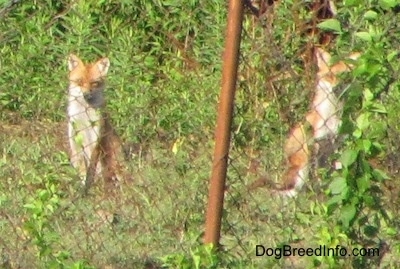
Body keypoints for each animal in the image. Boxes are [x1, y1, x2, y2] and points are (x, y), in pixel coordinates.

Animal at [66, 53, 127, 192]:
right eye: (79, 82)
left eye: (94, 83)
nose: (86, 94)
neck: (84, 114)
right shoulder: (74, 138)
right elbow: (82, 169)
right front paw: (83, 186)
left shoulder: (95, 138)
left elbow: (91, 168)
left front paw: (88, 186)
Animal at [276, 47, 360, 196]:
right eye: (329, 76)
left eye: (345, 76)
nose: (336, 88)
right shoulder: (317, 142)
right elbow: (319, 175)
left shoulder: (339, 142)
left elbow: (339, 169)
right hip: (303, 161)